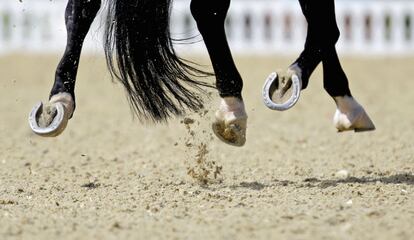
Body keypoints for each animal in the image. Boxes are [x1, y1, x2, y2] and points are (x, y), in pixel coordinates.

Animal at [26, 0, 376, 146]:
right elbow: (326, 27)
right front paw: (292, 79)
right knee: (209, 10)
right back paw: (233, 108)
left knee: (81, 8)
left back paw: (59, 101)